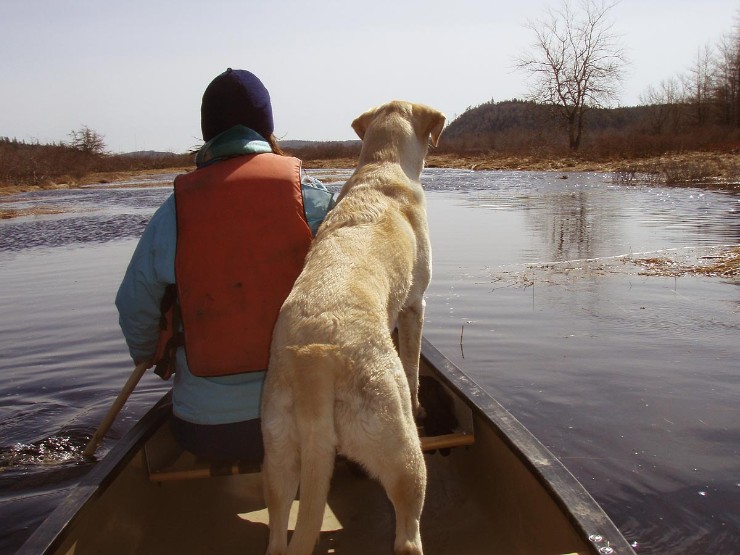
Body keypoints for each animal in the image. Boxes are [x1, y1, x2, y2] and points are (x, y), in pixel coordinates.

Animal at [262, 101, 442, 555]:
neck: (382, 165)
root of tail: (315, 362)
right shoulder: (415, 304)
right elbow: (414, 365)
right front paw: (420, 404)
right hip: (402, 453)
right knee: (408, 533)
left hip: (278, 454)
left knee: (277, 532)